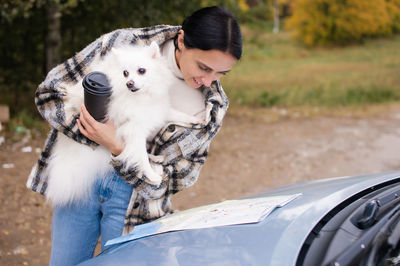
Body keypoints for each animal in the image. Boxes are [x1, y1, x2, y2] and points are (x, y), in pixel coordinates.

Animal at [44, 41, 202, 206]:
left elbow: (177, 114)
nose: (129, 83)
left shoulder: (157, 111)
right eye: (125, 73)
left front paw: (197, 120)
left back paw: (155, 157)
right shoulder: (134, 130)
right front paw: (151, 175)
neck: (142, 97)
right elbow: (140, 156)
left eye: (141, 71)